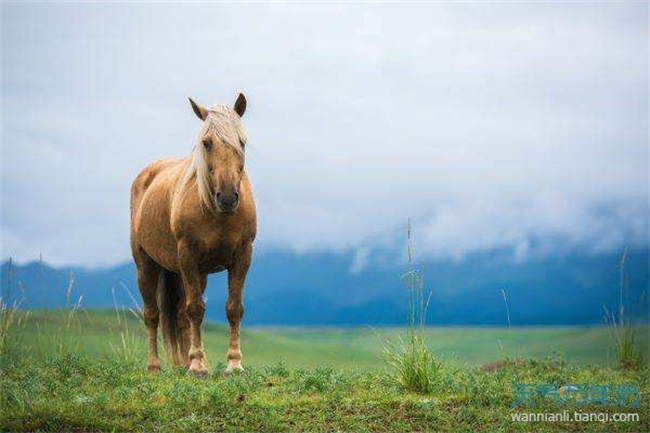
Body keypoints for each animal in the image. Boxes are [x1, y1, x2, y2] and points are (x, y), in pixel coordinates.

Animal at [130, 93, 256, 376]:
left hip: (196, 273)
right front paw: (198, 366)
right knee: (152, 314)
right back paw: (155, 366)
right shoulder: (187, 256)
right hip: (147, 265)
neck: (216, 213)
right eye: (206, 143)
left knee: (178, 314)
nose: (228, 197)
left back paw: (184, 363)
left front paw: (234, 365)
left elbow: (234, 309)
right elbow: (196, 309)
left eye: (241, 141)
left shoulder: (243, 256)